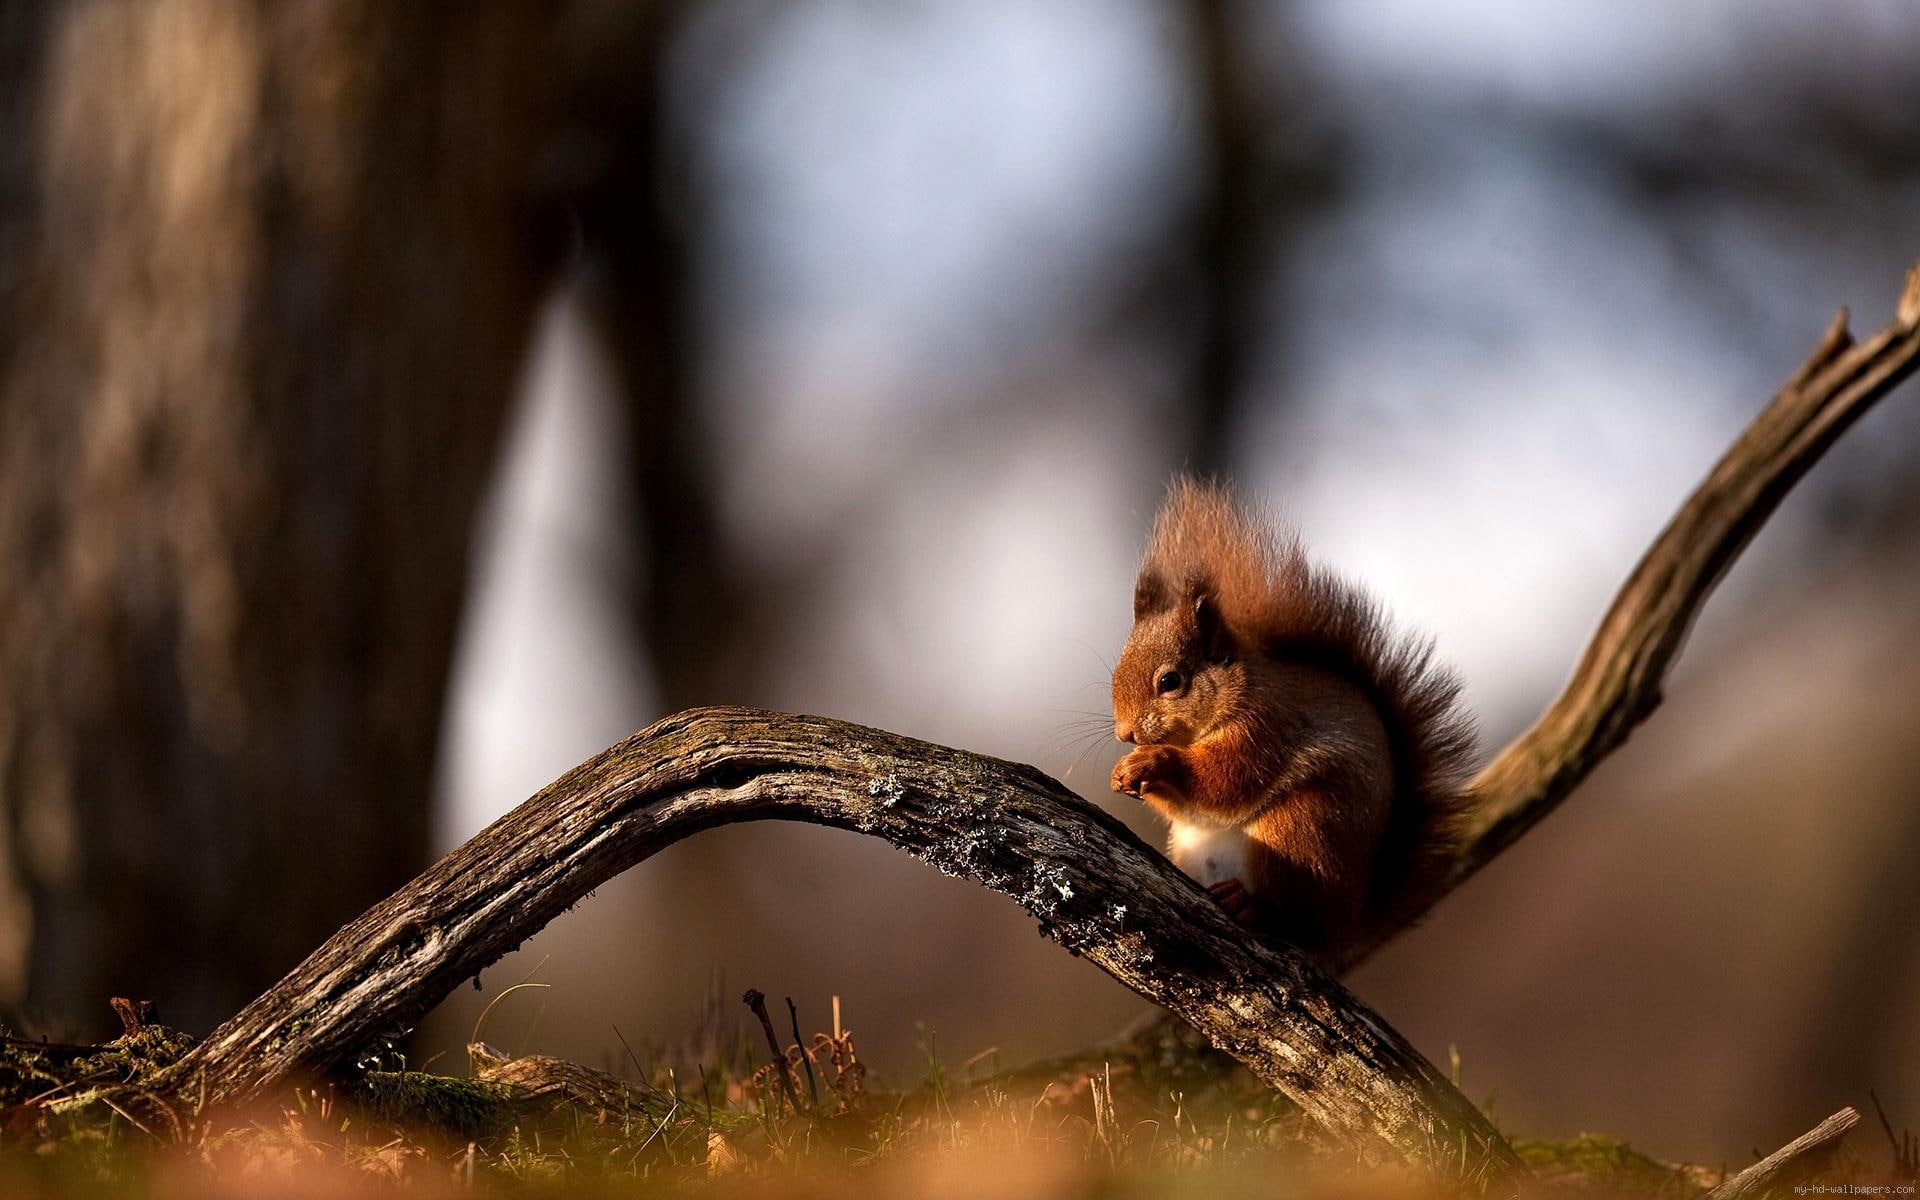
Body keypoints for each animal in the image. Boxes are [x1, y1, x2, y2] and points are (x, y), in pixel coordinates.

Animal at [1108, 478, 1475, 959]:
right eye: (1115, 671)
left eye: (1170, 681)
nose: (1125, 733)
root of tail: (1348, 925)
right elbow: (1186, 805)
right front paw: (1123, 774)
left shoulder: (1265, 728)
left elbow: (1223, 781)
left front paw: (1153, 761)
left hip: (1301, 830)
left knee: (1293, 919)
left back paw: (1251, 906)